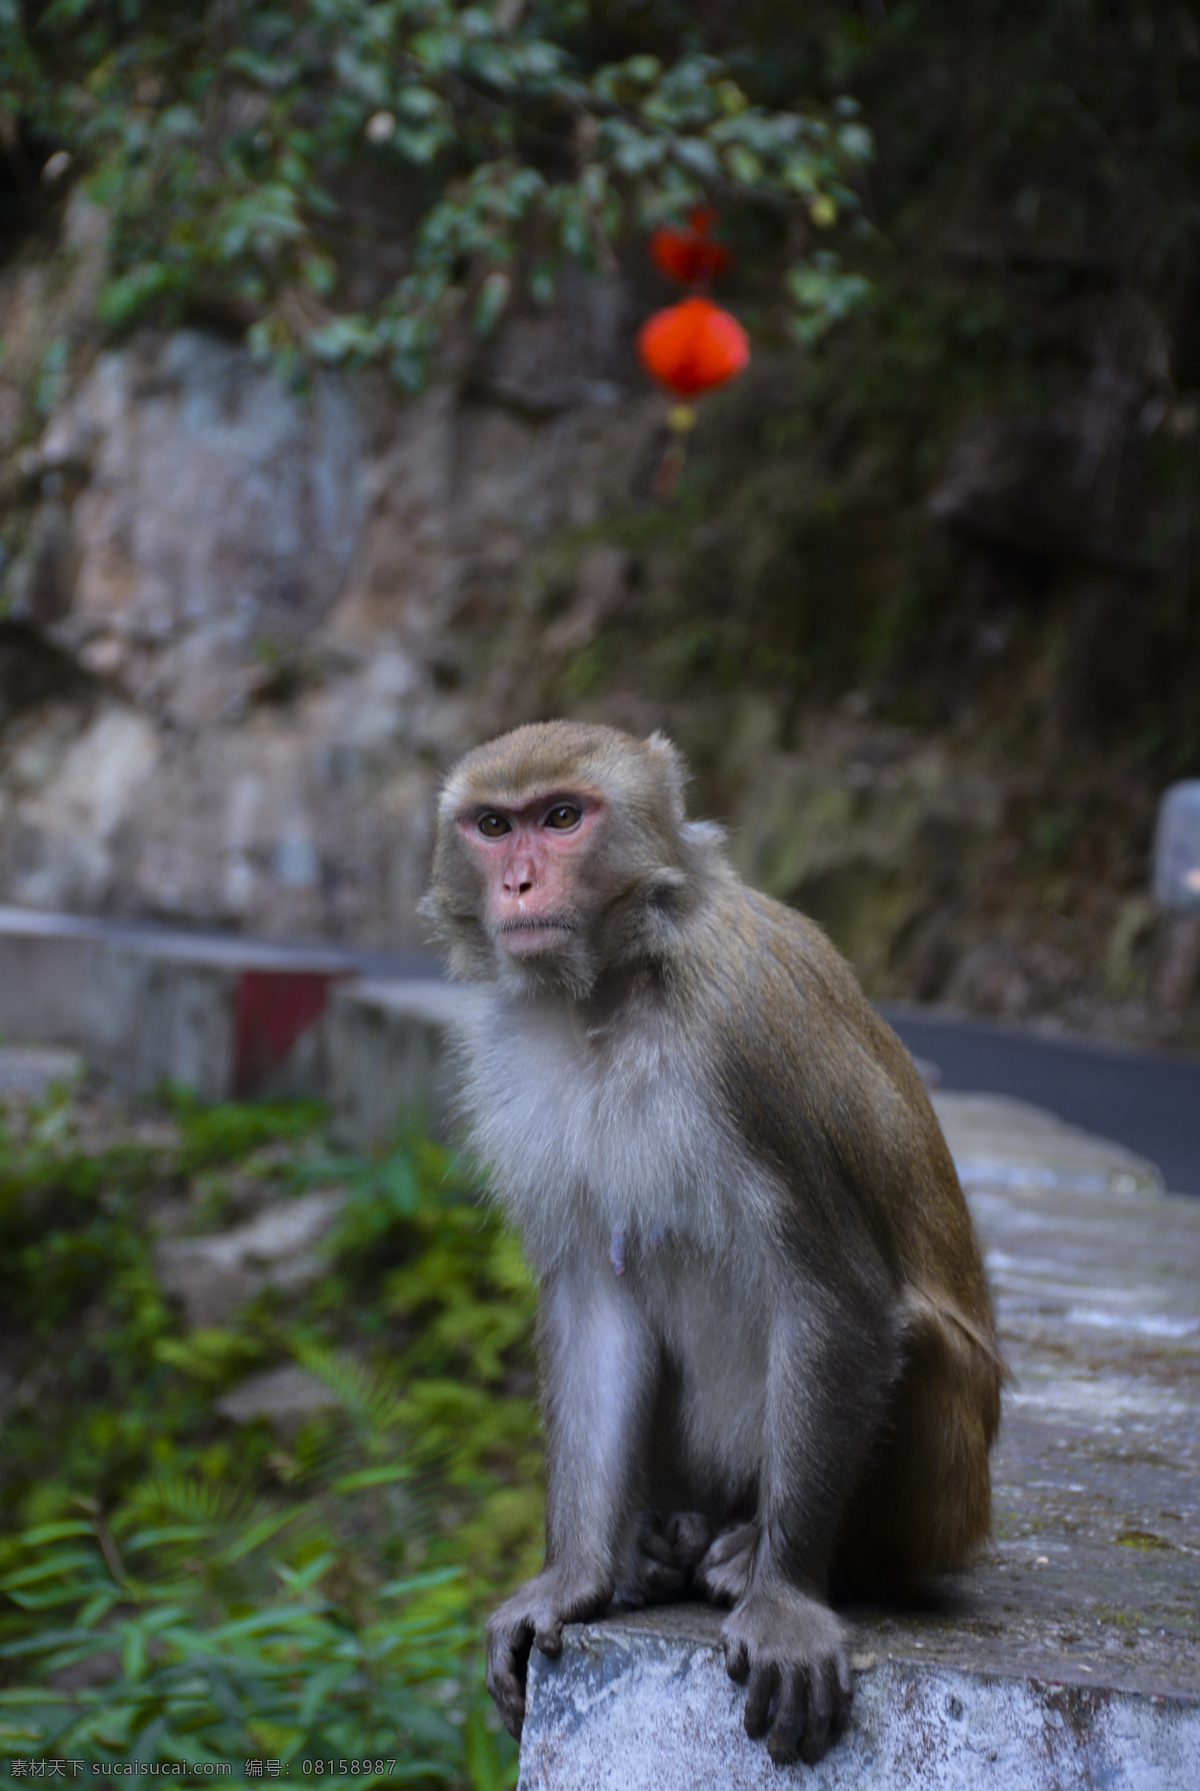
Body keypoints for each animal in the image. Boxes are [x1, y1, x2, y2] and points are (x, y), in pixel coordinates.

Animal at [422, 719, 1002, 1769]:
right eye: (493, 825)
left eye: (561, 818)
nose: (518, 882)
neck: (615, 989)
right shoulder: (518, 1057)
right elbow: (596, 1302)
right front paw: (574, 1576)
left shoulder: (744, 1034)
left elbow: (836, 1293)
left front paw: (785, 1601)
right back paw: (655, 1547)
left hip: (953, 1503)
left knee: (917, 1349)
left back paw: (784, 1555)